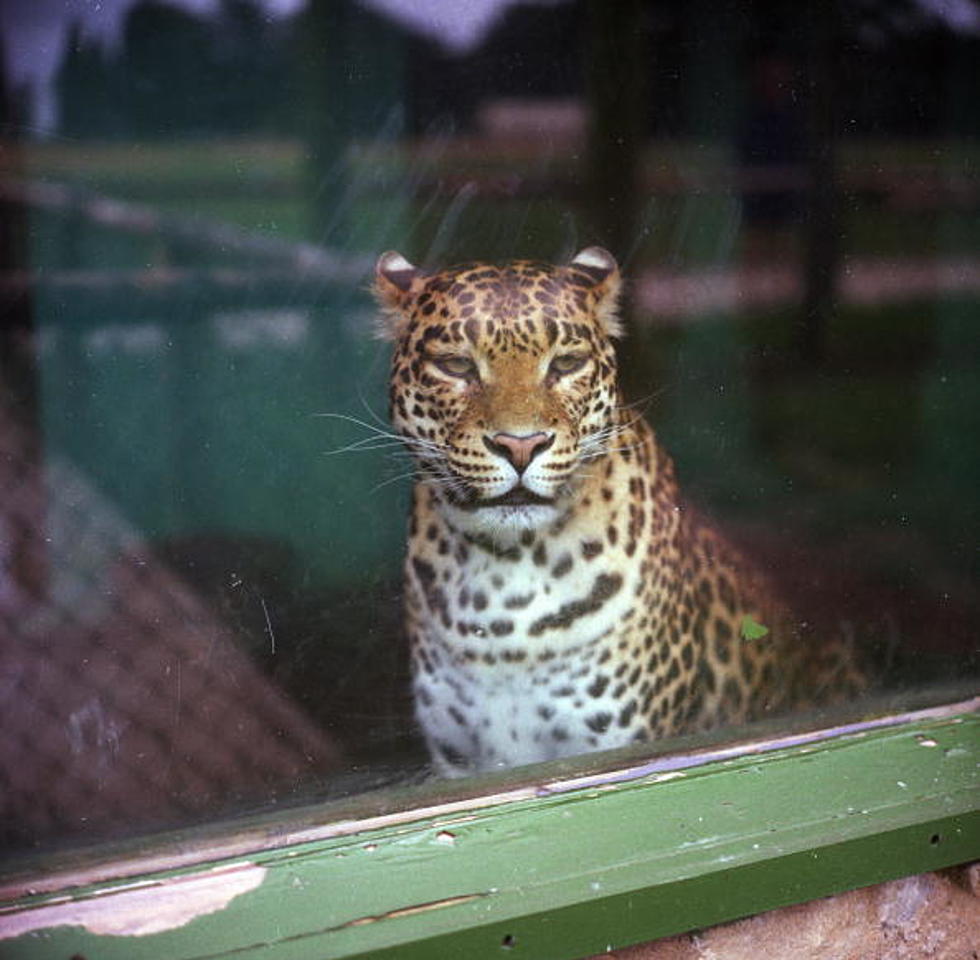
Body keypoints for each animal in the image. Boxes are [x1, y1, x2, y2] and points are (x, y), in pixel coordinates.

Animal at [372, 244, 860, 776]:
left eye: (566, 363)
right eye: (457, 366)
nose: (520, 446)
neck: (506, 579)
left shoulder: (622, 747)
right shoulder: (459, 760)